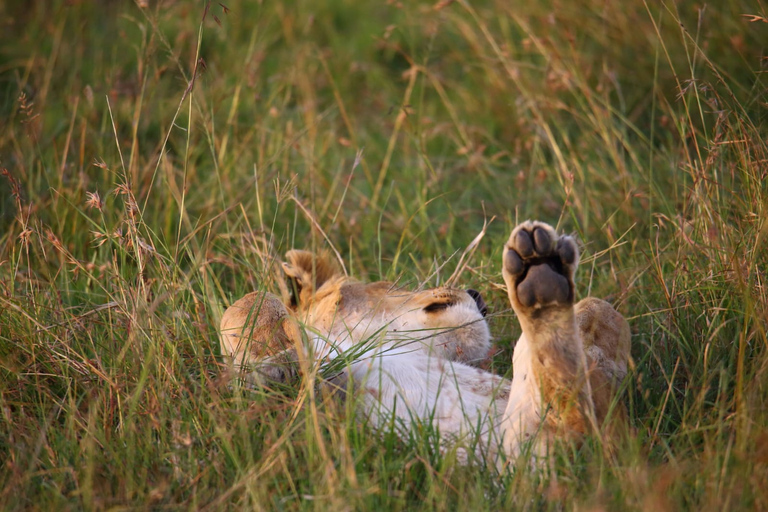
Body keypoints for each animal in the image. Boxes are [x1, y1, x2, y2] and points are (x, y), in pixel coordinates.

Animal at [218, 222, 632, 466]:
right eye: (387, 285)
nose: (477, 295)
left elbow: (603, 310)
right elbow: (250, 302)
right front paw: (280, 355)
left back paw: (541, 274)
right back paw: (541, 277)